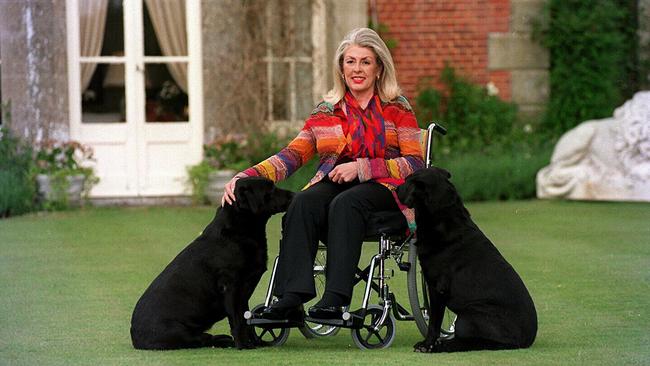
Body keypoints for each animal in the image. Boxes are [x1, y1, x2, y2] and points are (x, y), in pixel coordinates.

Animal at [130, 177, 292, 348]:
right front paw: (243, 345)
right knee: (202, 339)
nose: (293, 195)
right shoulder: (231, 286)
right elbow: (238, 320)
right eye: (271, 189)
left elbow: (247, 318)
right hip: (179, 331)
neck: (239, 229)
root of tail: (135, 337)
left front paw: (254, 342)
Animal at [394, 168, 536, 352]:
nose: (396, 189)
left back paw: (442, 345)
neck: (442, 216)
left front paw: (427, 344)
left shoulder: (438, 288)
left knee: (476, 343)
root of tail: (528, 340)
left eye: (407, 181)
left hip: (468, 317)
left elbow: (434, 322)